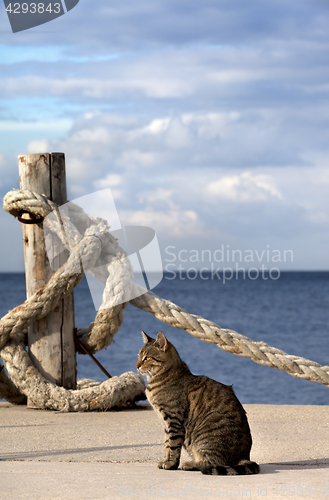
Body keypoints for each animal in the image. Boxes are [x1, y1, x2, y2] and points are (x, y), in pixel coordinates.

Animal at [135, 330, 258, 474]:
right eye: (139, 356)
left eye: (147, 358)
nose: (137, 366)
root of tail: (244, 456)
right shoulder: (166, 423)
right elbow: (167, 445)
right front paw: (166, 460)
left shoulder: (173, 420)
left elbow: (173, 445)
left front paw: (170, 464)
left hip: (206, 438)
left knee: (212, 463)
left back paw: (190, 464)